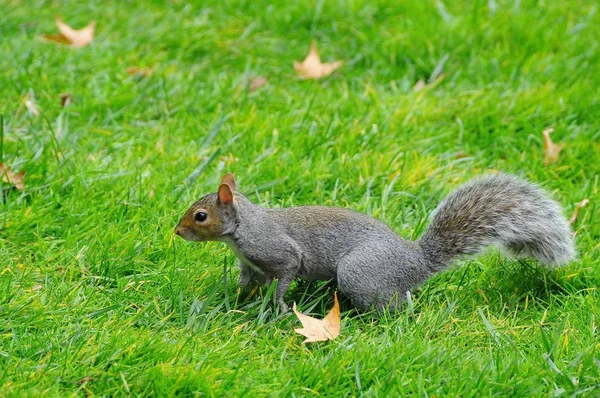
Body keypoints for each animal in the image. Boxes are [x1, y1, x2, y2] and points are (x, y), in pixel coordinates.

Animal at [175, 173, 576, 310]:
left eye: (200, 216)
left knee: (397, 305)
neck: (242, 229)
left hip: (360, 273)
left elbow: (285, 275)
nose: (176, 232)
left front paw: (277, 307)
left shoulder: (277, 252)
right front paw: (235, 300)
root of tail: (415, 262)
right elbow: (247, 283)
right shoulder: (249, 264)